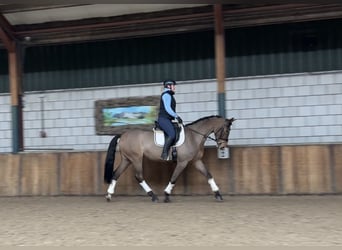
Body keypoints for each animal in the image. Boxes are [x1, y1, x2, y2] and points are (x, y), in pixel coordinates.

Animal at [103, 116, 235, 202]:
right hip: (136, 159)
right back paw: (153, 196)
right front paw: (166, 195)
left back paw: (109, 195)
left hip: (127, 159)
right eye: (226, 130)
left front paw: (218, 194)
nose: (223, 146)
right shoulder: (182, 162)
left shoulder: (196, 161)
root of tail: (123, 135)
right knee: (139, 176)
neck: (194, 136)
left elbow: (208, 175)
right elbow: (174, 178)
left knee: (116, 174)